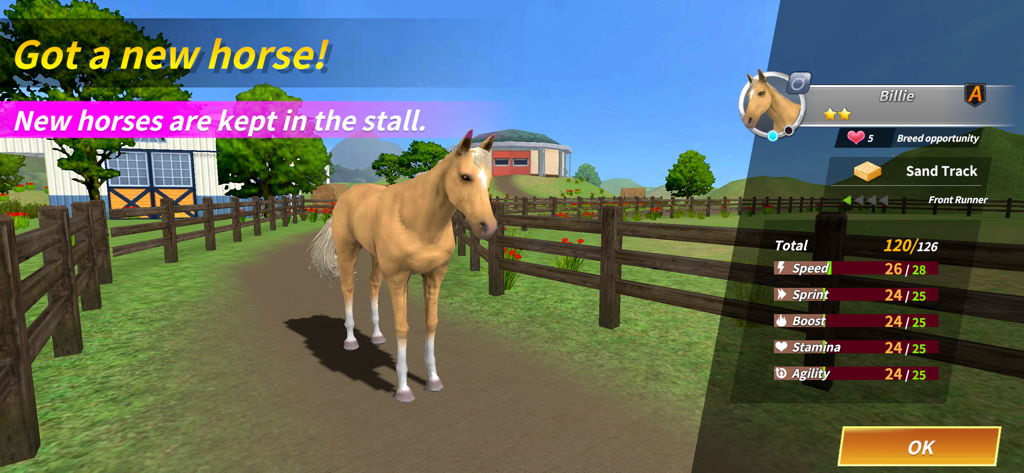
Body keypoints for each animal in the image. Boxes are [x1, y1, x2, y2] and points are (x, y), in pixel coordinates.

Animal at [309, 130, 497, 403]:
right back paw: (351, 340)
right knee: (348, 289)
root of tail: (344, 197)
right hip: (347, 251)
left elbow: (431, 322)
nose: (488, 227)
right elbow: (402, 327)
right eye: (465, 177)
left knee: (373, 285)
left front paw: (433, 379)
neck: (418, 221)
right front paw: (404, 388)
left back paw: (377, 336)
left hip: (376, 258)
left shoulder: (434, 276)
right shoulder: (399, 278)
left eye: (489, 179)